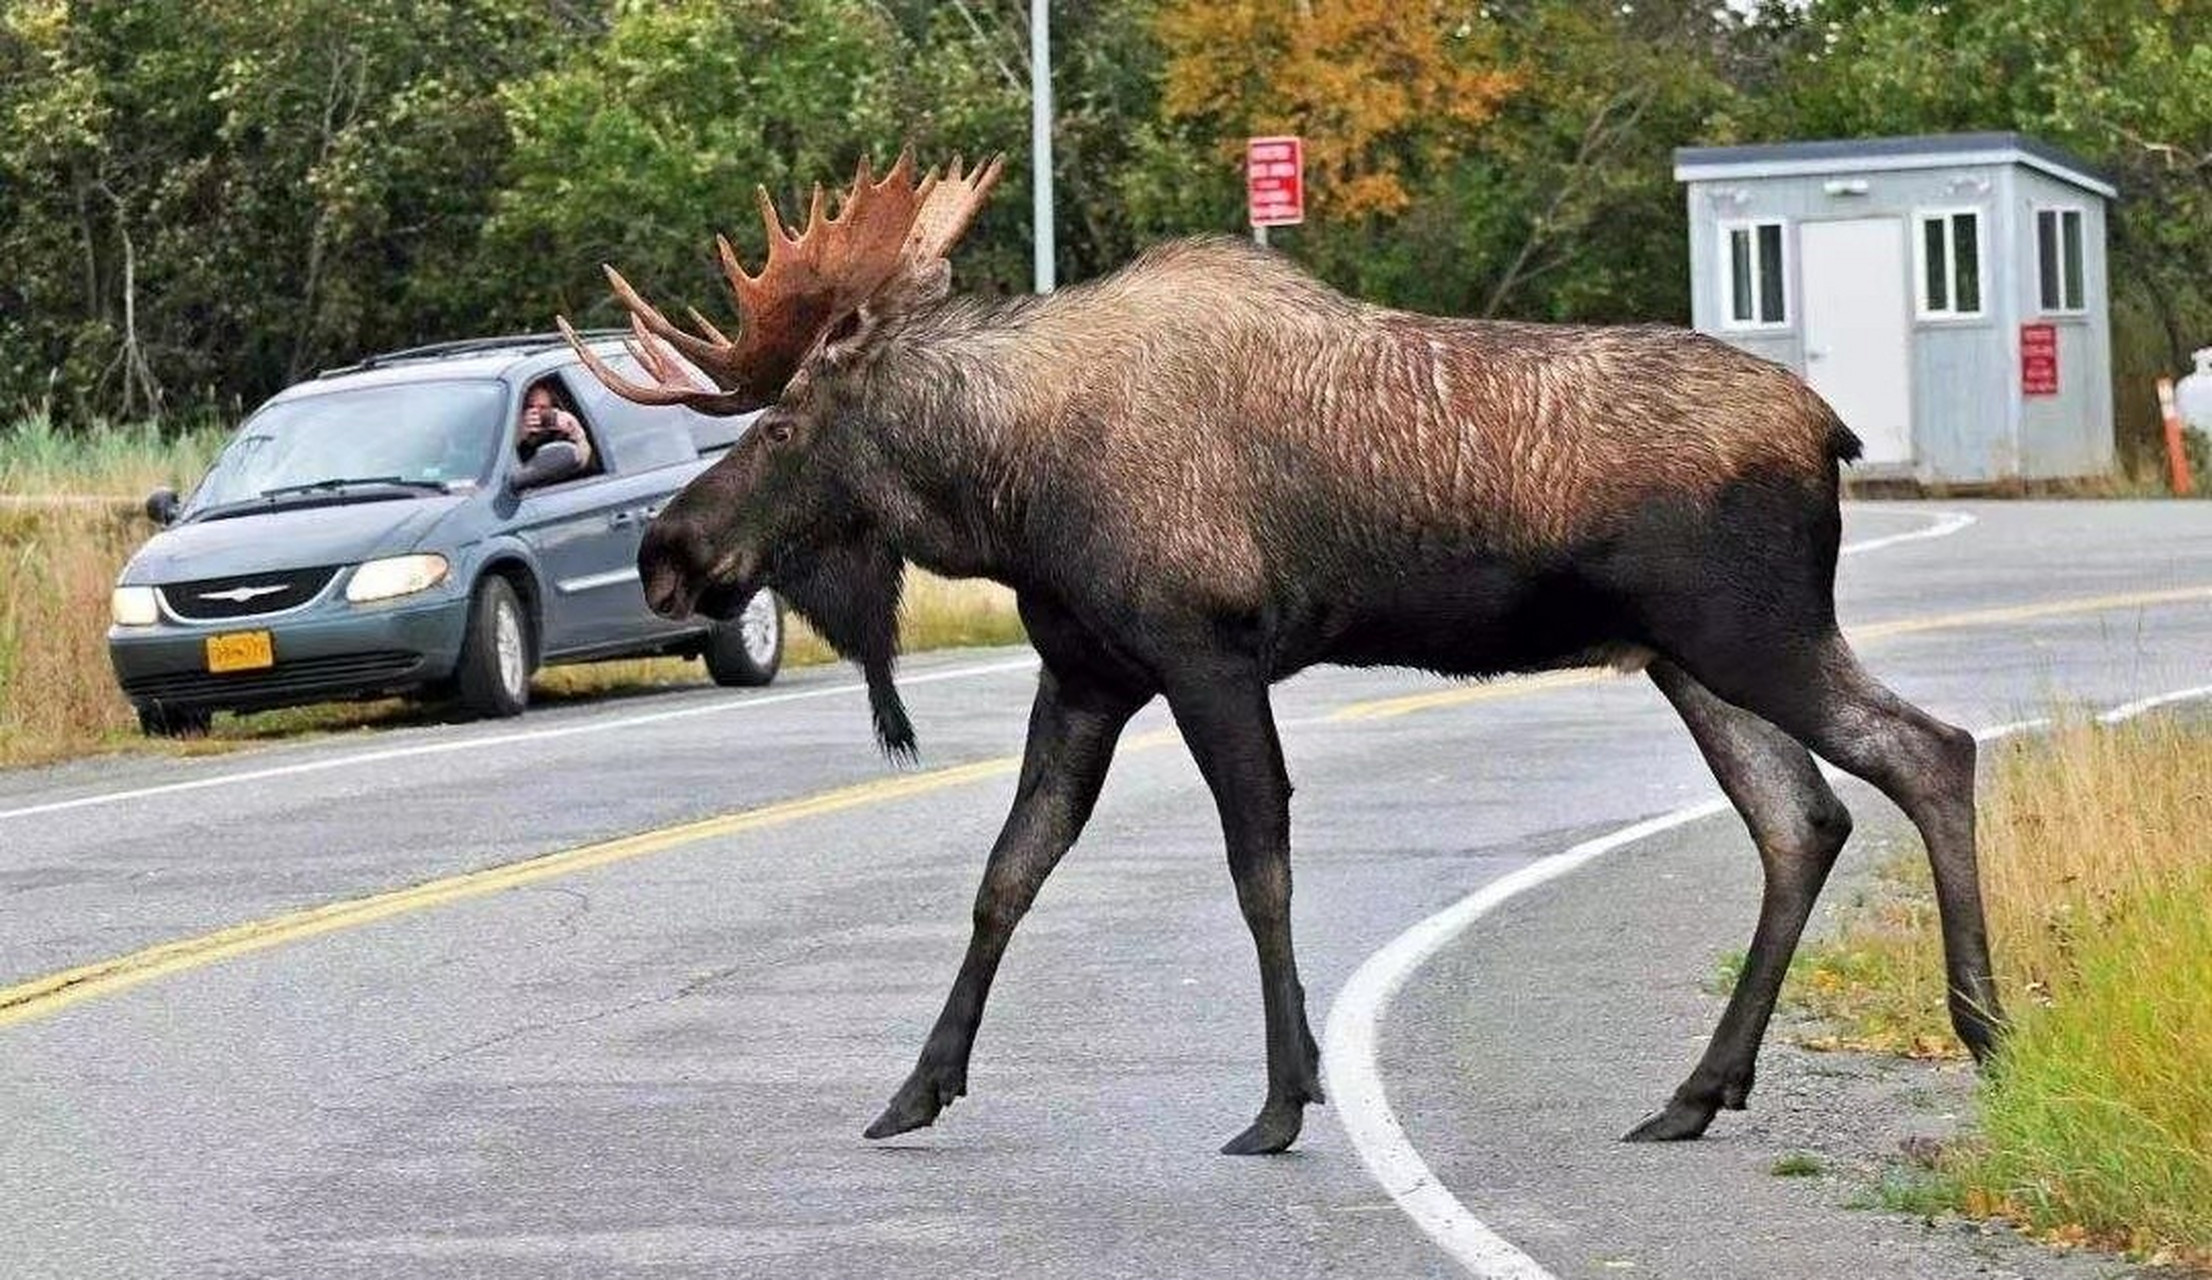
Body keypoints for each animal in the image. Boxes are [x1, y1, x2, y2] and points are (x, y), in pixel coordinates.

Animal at [557, 152, 2008, 1158]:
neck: (1005, 496)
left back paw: (1983, 1031)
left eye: (781, 426)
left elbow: (1258, 866)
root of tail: (1830, 430)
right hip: (1686, 655)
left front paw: (1279, 1099)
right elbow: (1006, 874)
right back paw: (1695, 1092)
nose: (667, 554)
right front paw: (915, 1087)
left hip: (1753, 628)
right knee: (1800, 818)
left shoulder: (1205, 651)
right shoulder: (1088, 670)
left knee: (1927, 749)